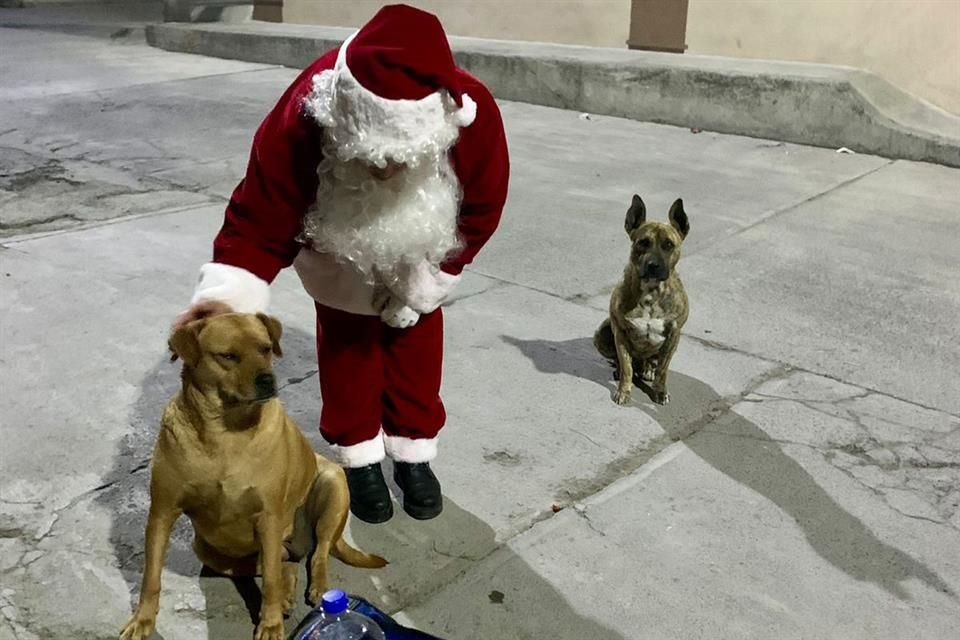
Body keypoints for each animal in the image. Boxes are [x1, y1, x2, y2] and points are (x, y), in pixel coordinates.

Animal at [121, 312, 386, 640]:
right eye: (227, 356)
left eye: (265, 348)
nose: (267, 380)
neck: (225, 432)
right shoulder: (162, 512)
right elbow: (151, 577)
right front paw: (142, 619)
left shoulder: (268, 516)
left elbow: (270, 581)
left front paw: (270, 624)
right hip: (208, 550)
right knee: (283, 563)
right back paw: (287, 592)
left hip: (332, 486)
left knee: (317, 553)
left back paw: (317, 588)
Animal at [592, 195, 688, 404]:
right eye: (642, 242)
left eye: (669, 245)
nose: (653, 265)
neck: (651, 293)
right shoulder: (620, 331)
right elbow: (626, 366)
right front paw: (624, 390)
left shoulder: (674, 335)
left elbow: (663, 370)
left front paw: (660, 390)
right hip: (602, 334)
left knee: (652, 363)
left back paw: (648, 369)